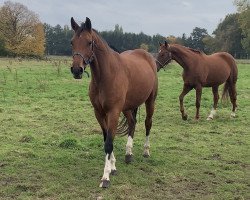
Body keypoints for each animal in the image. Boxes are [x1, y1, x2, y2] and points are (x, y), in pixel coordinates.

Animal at [69, 16, 157, 188]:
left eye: (89, 42)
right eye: (72, 42)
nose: (77, 70)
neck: (106, 75)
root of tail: (147, 55)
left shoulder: (113, 112)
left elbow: (109, 142)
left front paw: (105, 177)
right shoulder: (99, 112)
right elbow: (106, 139)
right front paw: (113, 167)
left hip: (150, 100)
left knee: (147, 123)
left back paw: (146, 151)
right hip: (128, 107)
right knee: (132, 123)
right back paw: (128, 153)